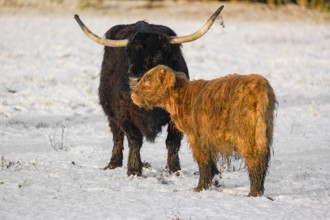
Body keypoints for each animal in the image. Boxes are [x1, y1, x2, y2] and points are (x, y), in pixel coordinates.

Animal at [74, 6, 224, 176]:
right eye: (128, 54)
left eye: (156, 54)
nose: (134, 78)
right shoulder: (124, 112)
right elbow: (134, 139)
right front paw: (134, 170)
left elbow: (172, 141)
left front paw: (174, 169)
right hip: (110, 111)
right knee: (117, 135)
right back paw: (113, 163)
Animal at [130, 64, 278, 196]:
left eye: (148, 80)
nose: (132, 95)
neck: (181, 99)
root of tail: (261, 84)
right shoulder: (209, 139)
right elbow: (211, 162)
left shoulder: (197, 137)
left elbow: (203, 162)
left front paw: (201, 187)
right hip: (264, 133)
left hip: (247, 135)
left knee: (255, 161)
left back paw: (253, 193)